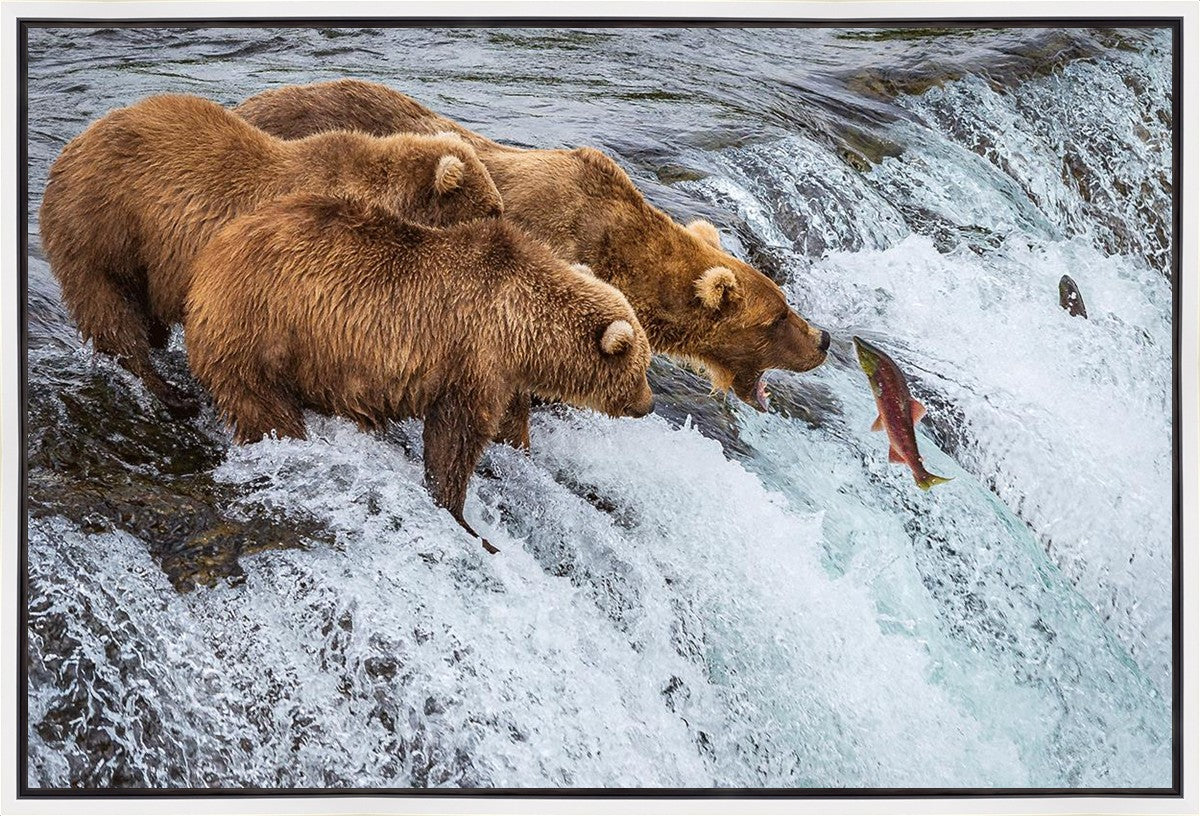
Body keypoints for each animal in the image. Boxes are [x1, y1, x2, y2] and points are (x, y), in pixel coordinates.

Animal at [39, 92, 504, 418]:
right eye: (492, 209)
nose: (505, 224)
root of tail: (71, 147)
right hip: (103, 227)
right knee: (109, 310)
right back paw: (170, 392)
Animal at [184, 191, 655, 554]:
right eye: (641, 368)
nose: (648, 405)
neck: (522, 326)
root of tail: (210, 256)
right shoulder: (473, 355)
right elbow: (455, 438)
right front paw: (464, 519)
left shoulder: (503, 373)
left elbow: (508, 423)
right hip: (261, 329)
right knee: (263, 405)